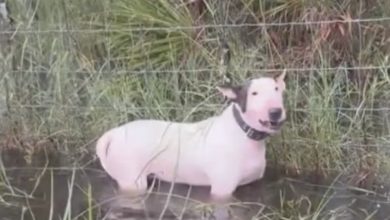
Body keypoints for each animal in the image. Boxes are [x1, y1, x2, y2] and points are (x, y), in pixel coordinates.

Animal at [96, 71, 288, 203]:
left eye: (277, 89)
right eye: (254, 93)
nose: (276, 112)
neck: (244, 133)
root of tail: (114, 133)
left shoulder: (253, 184)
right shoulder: (221, 191)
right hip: (132, 182)